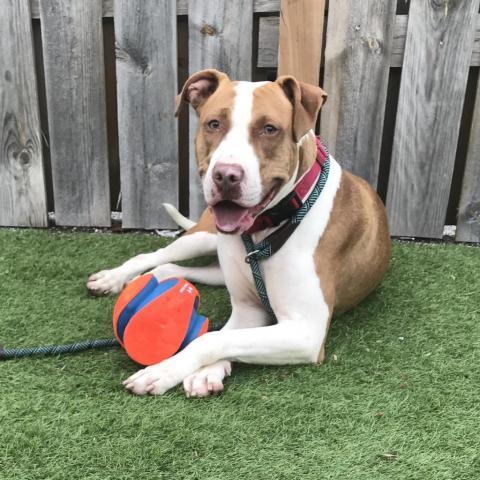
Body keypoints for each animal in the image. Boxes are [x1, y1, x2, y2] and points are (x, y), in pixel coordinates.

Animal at [88, 68, 392, 398]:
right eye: (214, 124)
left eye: (270, 129)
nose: (226, 175)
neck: (268, 227)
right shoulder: (252, 311)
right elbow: (220, 336)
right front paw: (182, 370)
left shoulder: (305, 331)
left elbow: (214, 338)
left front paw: (180, 371)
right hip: (204, 238)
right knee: (154, 254)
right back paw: (113, 278)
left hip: (218, 266)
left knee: (172, 267)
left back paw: (154, 279)